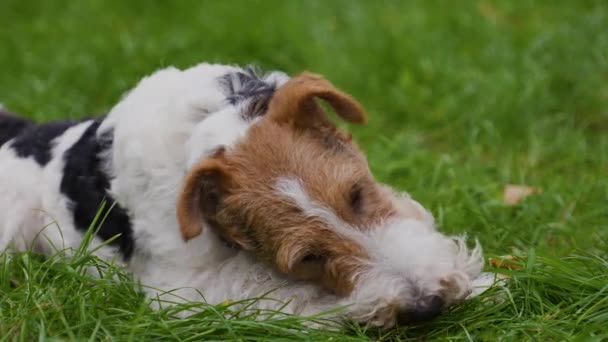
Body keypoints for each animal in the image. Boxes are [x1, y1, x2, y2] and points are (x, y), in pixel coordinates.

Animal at [0, 62, 486, 328]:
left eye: (358, 194)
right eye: (307, 257)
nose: (428, 304)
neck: (209, 128)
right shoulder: (183, 288)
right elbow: (276, 292)